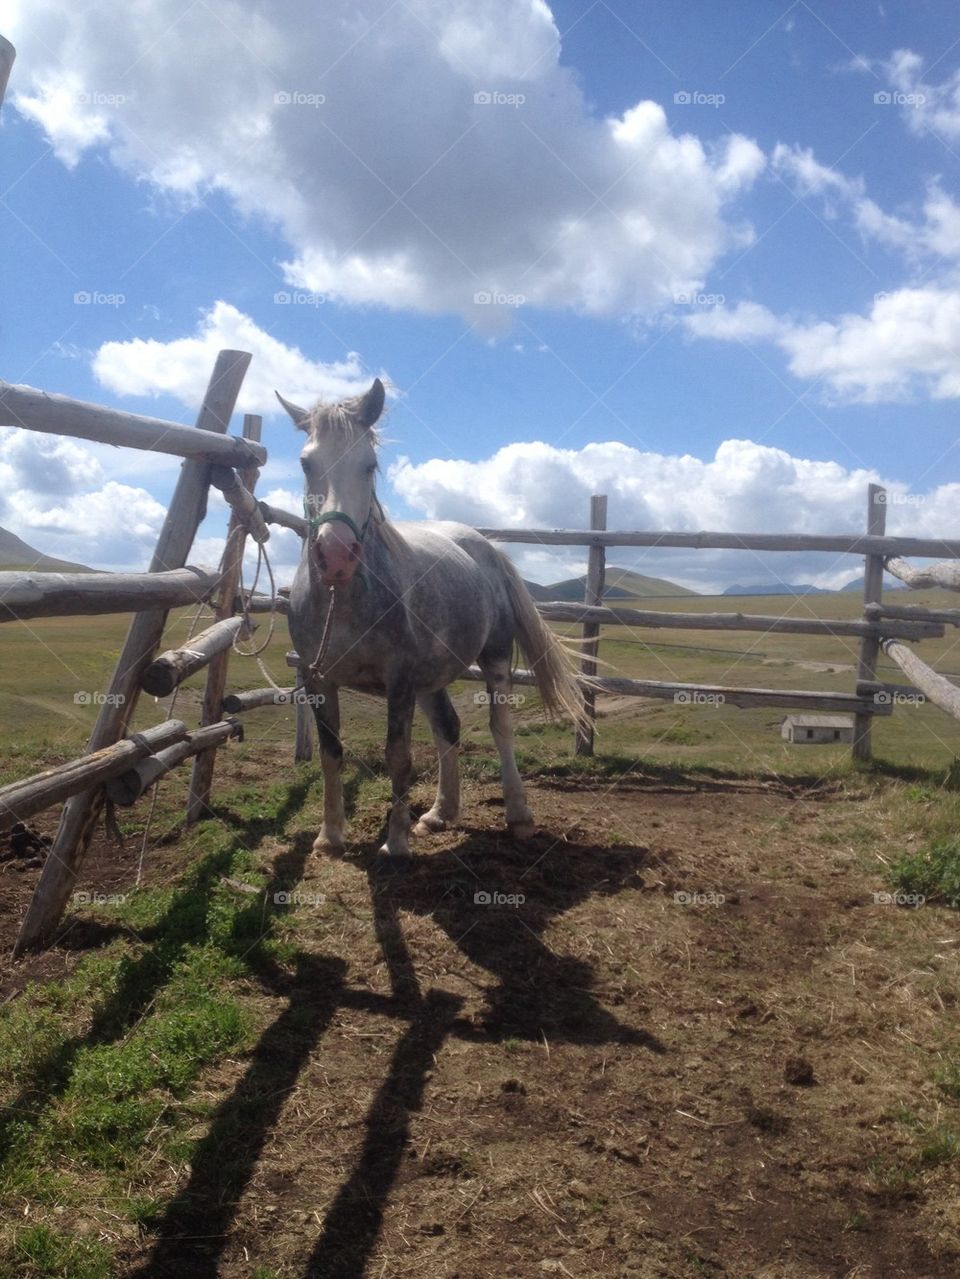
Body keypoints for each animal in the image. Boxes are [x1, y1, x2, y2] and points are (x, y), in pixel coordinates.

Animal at [279, 378, 585, 856]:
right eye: (306, 462)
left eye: (370, 465)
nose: (336, 555)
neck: (341, 600)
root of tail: (485, 545)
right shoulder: (318, 680)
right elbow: (332, 754)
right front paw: (329, 837)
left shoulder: (399, 679)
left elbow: (398, 757)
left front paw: (396, 843)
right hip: (431, 677)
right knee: (448, 728)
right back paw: (441, 813)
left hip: (493, 657)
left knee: (500, 728)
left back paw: (518, 816)